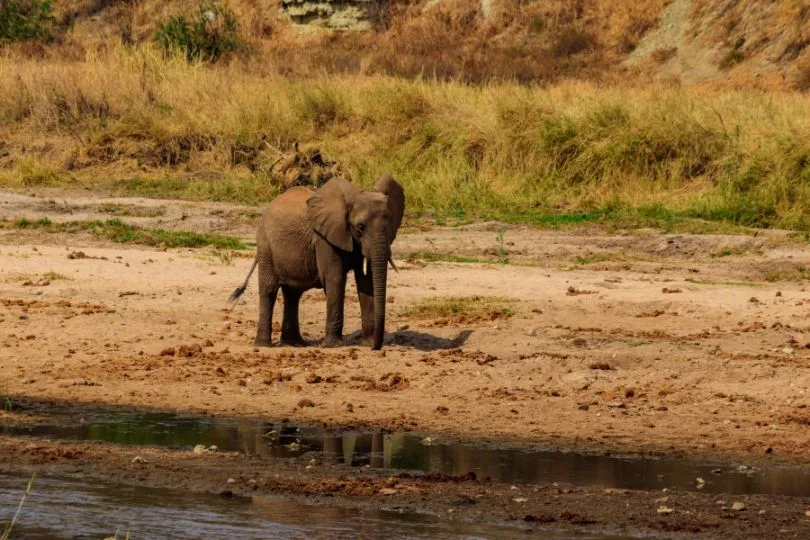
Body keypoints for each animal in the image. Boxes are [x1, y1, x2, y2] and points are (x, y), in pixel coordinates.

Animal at [227, 174, 404, 350]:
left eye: (391, 225)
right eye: (360, 226)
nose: (376, 347)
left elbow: (366, 282)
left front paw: (367, 343)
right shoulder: (323, 239)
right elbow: (335, 279)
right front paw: (333, 346)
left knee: (293, 294)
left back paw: (294, 343)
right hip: (265, 246)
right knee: (269, 289)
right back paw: (264, 345)